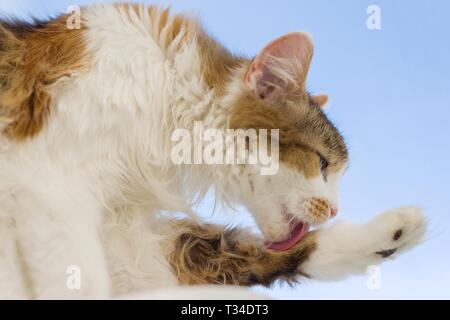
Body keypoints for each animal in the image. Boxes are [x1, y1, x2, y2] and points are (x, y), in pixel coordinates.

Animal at [0, 2, 428, 298]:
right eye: (322, 163)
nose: (336, 209)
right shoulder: (51, 188)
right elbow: (79, 280)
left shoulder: (132, 237)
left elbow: (252, 251)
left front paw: (392, 232)